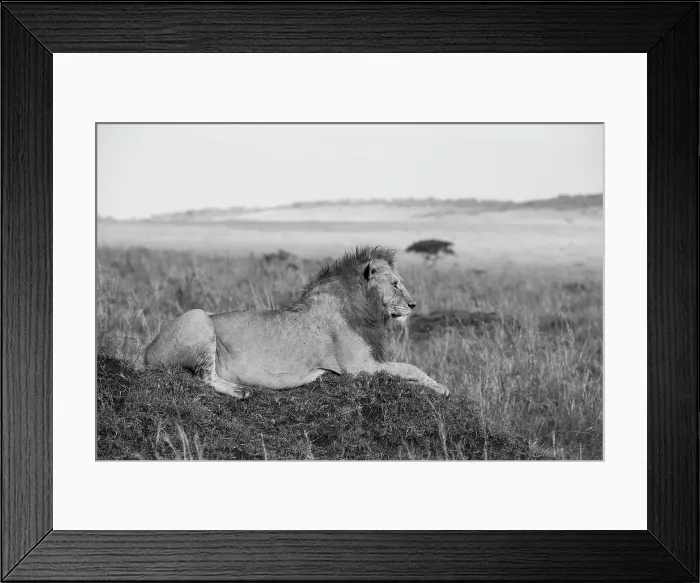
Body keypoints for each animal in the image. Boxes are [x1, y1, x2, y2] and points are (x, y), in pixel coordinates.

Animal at [144, 245, 450, 399]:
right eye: (396, 284)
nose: (413, 305)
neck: (363, 307)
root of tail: (146, 351)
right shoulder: (356, 367)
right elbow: (409, 367)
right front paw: (443, 389)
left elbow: (407, 368)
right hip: (198, 315)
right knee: (205, 376)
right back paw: (241, 391)